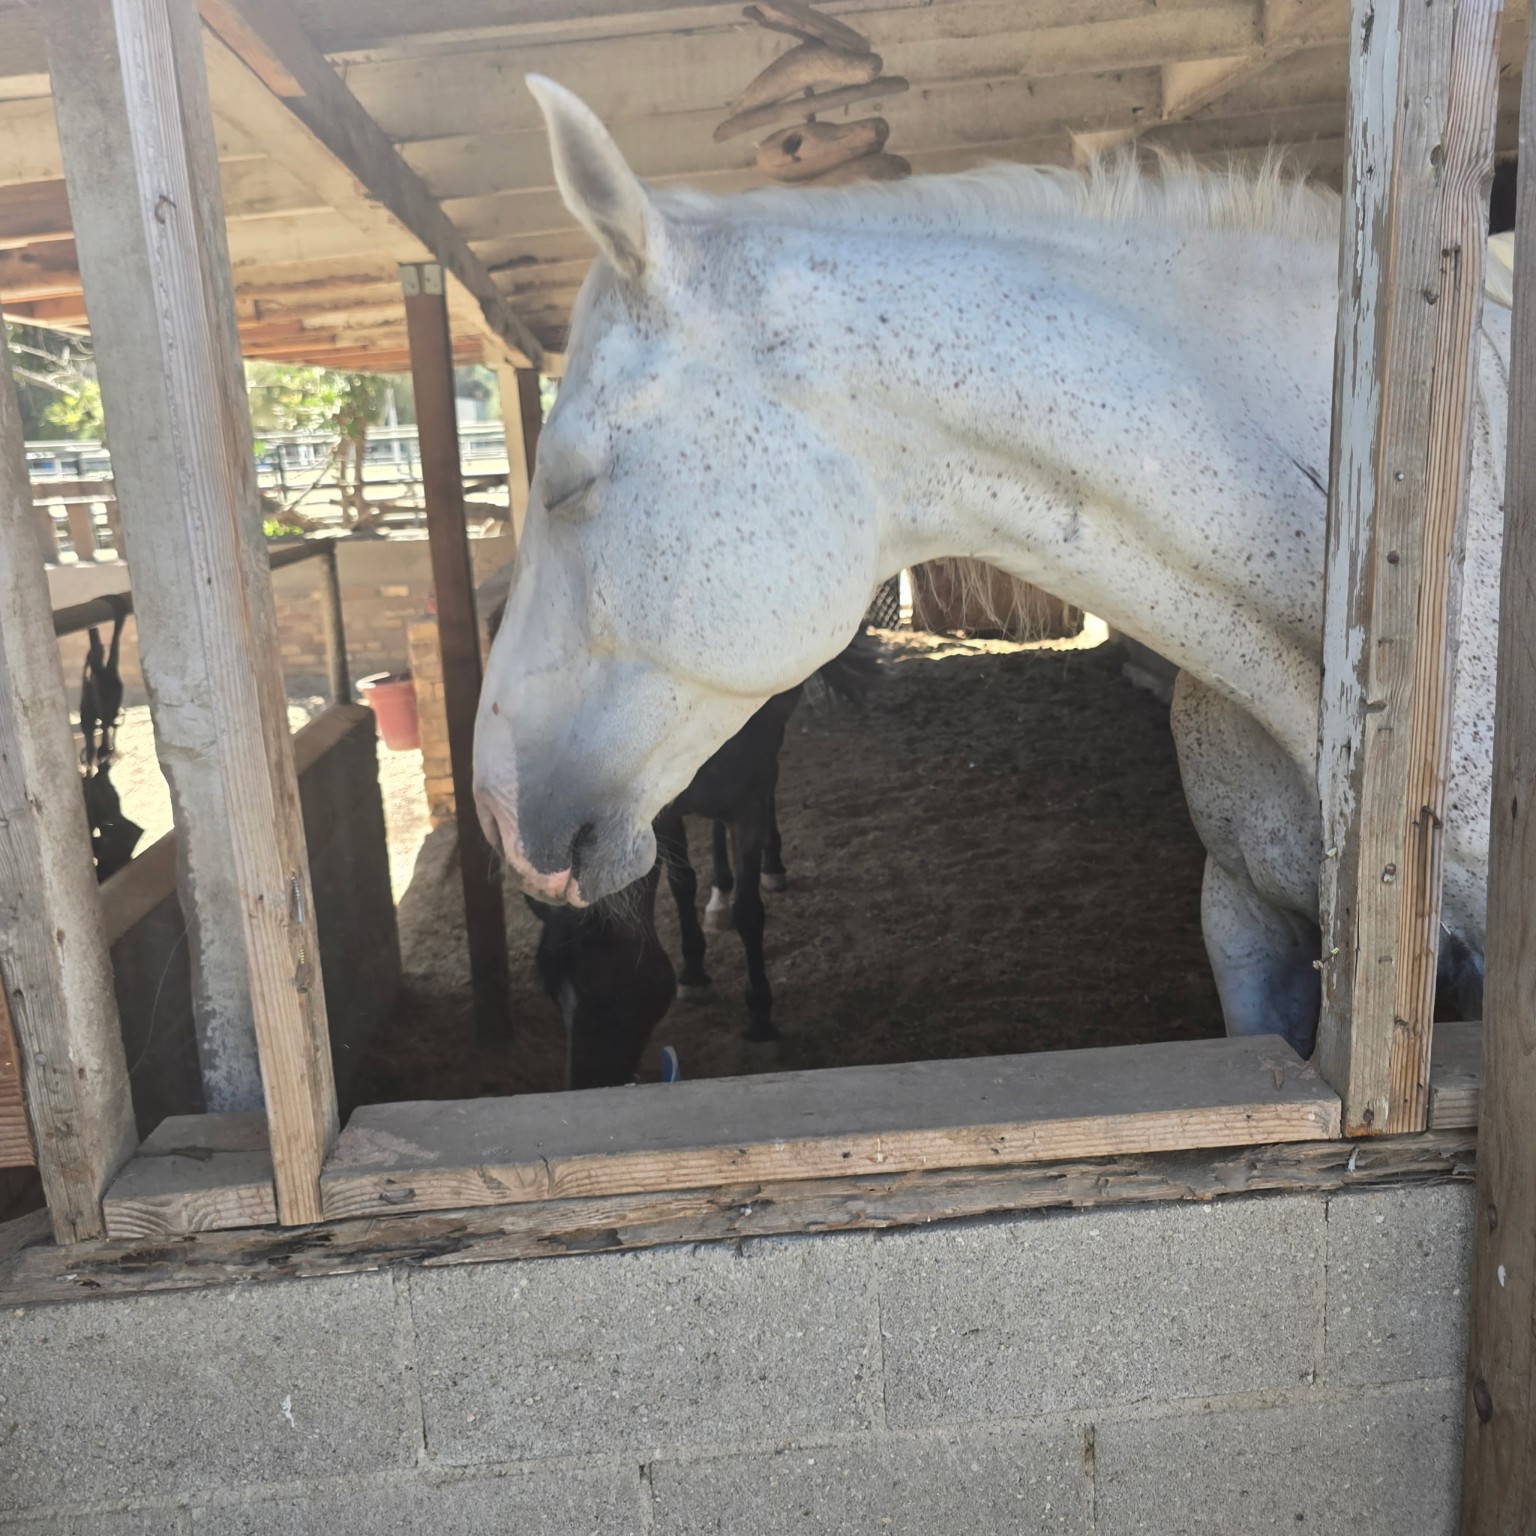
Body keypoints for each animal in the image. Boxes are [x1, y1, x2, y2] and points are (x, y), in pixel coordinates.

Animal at [528, 639, 877, 1086]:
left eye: (606, 996)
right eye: (553, 993)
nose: (583, 1088)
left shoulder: (749, 801)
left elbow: (750, 911)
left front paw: (760, 1016)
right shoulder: (666, 812)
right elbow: (682, 885)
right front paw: (694, 971)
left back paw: (772, 867)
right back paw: (719, 895)